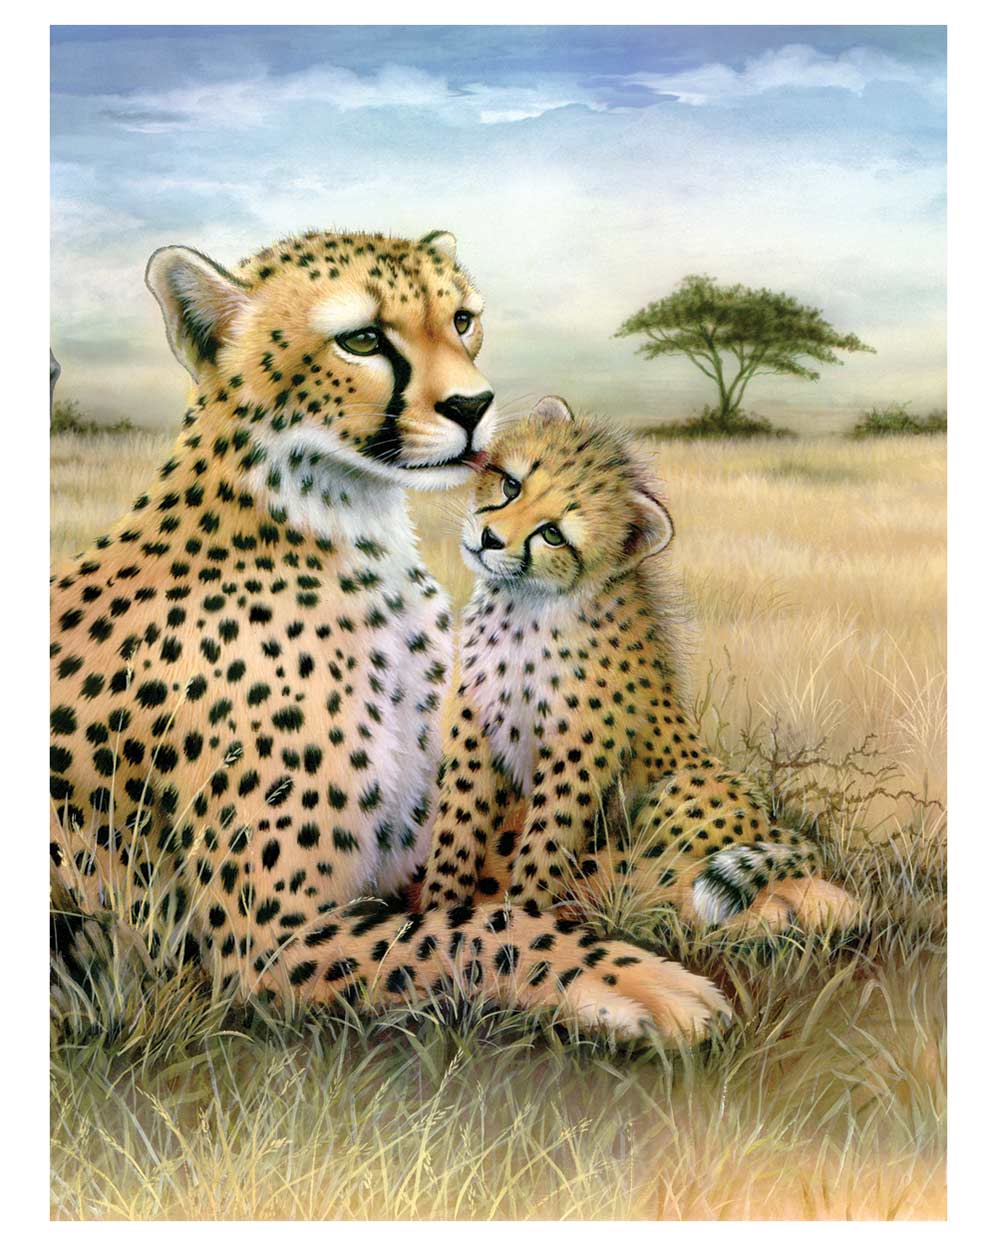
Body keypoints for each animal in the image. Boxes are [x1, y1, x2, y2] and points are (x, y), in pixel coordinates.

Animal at [50, 229, 730, 1046]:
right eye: (363, 339)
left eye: (462, 320)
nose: (473, 406)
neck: (346, 527)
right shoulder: (261, 943)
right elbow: (478, 929)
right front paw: (638, 980)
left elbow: (535, 875)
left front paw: (764, 886)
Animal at [421, 396, 861, 937]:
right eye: (511, 485)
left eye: (552, 534)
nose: (489, 539)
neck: (525, 605)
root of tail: (772, 823)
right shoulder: (476, 728)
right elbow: (458, 824)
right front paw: (439, 908)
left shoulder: (578, 753)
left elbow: (545, 844)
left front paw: (519, 919)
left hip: (684, 788)